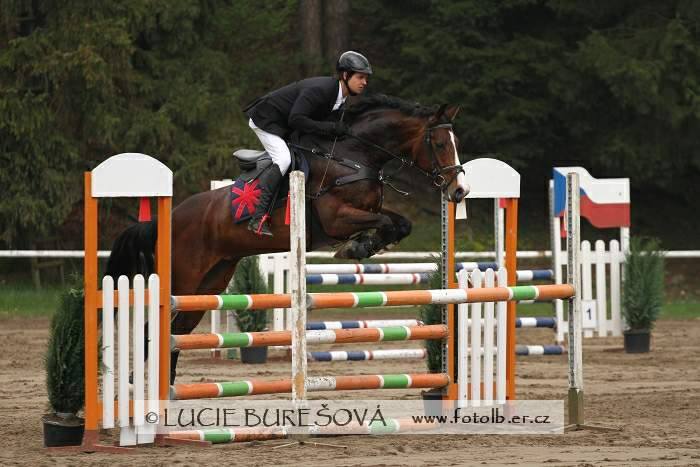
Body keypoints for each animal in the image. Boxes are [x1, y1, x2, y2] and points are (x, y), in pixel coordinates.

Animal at [105, 94, 468, 383]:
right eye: (439, 145)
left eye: (456, 144)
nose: (459, 191)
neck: (354, 156)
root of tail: (169, 218)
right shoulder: (336, 219)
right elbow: (382, 223)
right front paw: (358, 245)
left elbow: (401, 223)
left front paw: (370, 244)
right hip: (184, 278)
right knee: (154, 328)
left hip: (210, 282)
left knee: (178, 330)